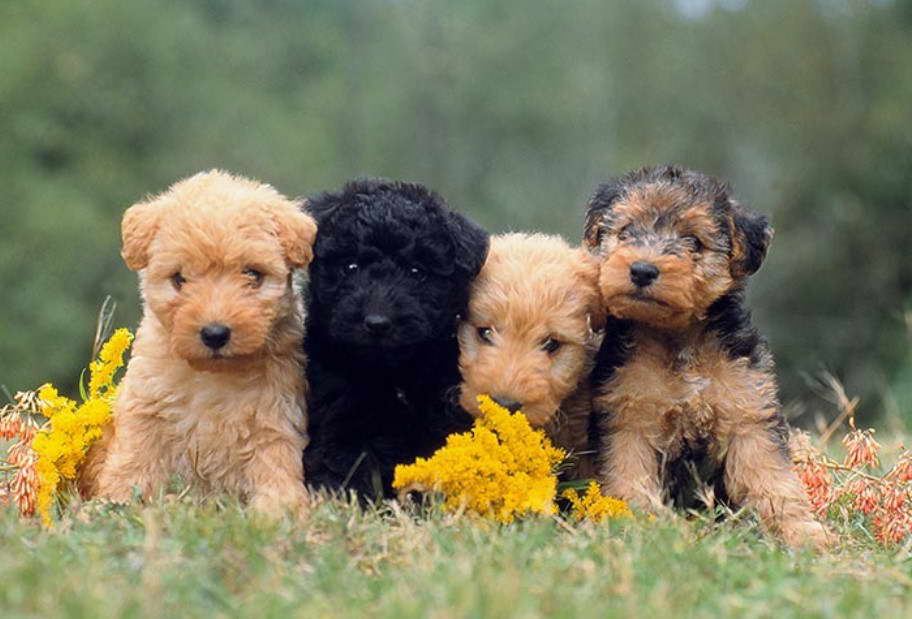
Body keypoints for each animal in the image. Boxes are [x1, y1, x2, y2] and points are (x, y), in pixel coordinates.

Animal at [83, 172, 318, 516]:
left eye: (253, 274)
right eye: (179, 279)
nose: (215, 333)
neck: (212, 377)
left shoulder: (275, 420)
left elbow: (276, 472)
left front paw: (276, 513)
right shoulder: (145, 410)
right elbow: (133, 463)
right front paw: (111, 507)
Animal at [302, 178, 488, 498]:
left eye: (417, 272)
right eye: (350, 267)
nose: (377, 323)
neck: (392, 373)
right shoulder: (342, 414)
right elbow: (344, 461)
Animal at [588, 163, 832, 548]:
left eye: (693, 241)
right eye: (625, 231)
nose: (642, 270)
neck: (677, 340)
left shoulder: (748, 415)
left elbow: (772, 479)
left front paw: (801, 531)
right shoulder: (628, 420)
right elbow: (630, 479)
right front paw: (638, 526)